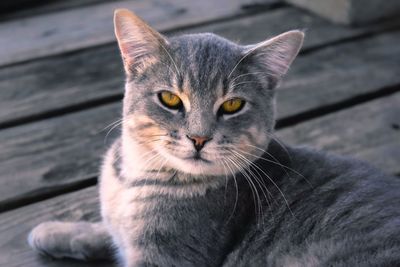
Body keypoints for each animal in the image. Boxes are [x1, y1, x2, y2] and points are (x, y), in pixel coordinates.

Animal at [28, 8, 400, 267]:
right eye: (170, 99)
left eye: (233, 105)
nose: (198, 137)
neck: (136, 176)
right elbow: (107, 229)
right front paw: (59, 231)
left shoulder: (167, 258)